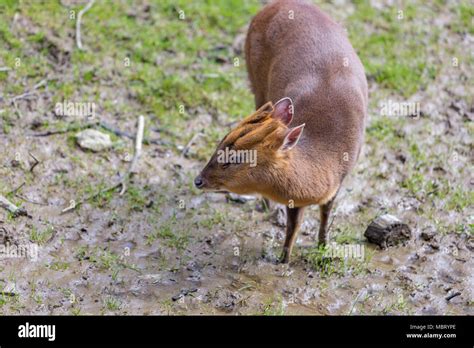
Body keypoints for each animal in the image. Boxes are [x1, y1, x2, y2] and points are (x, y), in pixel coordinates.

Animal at [194, 0, 368, 262]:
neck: (325, 152)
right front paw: (284, 260)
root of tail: (275, 5)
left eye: (236, 159)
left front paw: (322, 245)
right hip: (255, 79)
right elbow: (293, 225)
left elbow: (324, 214)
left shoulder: (339, 179)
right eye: (219, 145)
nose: (199, 180)